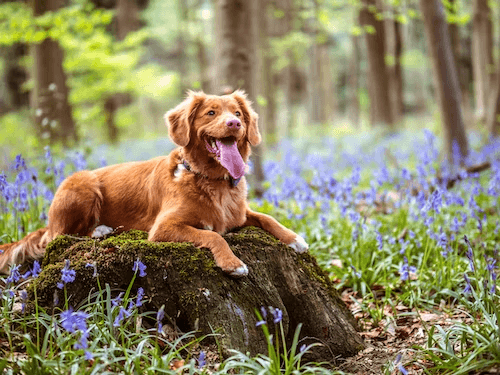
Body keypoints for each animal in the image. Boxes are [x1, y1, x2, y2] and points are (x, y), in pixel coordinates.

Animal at [0, 90, 308, 280]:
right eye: (211, 113)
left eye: (238, 113)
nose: (234, 123)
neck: (211, 180)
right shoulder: (163, 228)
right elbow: (213, 236)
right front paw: (233, 263)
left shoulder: (240, 214)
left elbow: (267, 218)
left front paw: (295, 238)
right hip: (82, 183)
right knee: (60, 236)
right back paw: (99, 229)